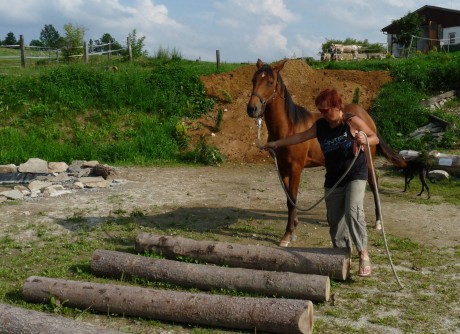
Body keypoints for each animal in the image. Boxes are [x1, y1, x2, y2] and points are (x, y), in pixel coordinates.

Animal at [248, 59, 406, 248]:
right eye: (253, 80)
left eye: (270, 82)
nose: (252, 109)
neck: (289, 127)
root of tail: (365, 116)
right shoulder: (283, 169)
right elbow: (289, 200)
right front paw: (292, 229)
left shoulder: (296, 168)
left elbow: (292, 199)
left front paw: (287, 235)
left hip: (368, 157)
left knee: (373, 182)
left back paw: (378, 222)